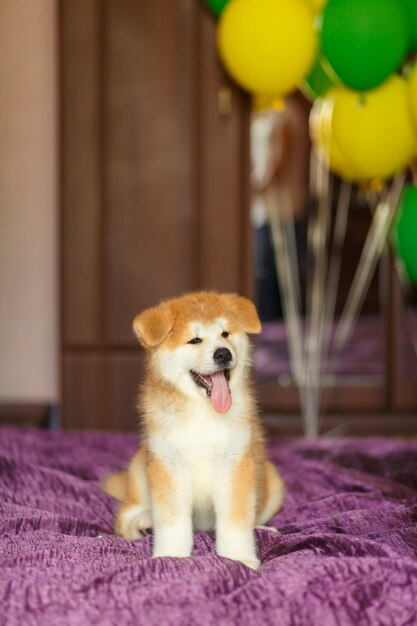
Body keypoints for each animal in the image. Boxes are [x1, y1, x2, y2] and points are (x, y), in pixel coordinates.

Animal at [103, 290, 284, 568]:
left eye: (225, 334)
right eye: (194, 340)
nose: (223, 354)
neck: (202, 413)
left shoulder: (235, 464)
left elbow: (236, 521)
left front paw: (239, 557)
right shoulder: (169, 466)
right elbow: (172, 522)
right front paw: (171, 555)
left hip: (272, 481)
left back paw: (265, 529)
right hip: (140, 469)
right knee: (124, 516)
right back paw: (142, 524)